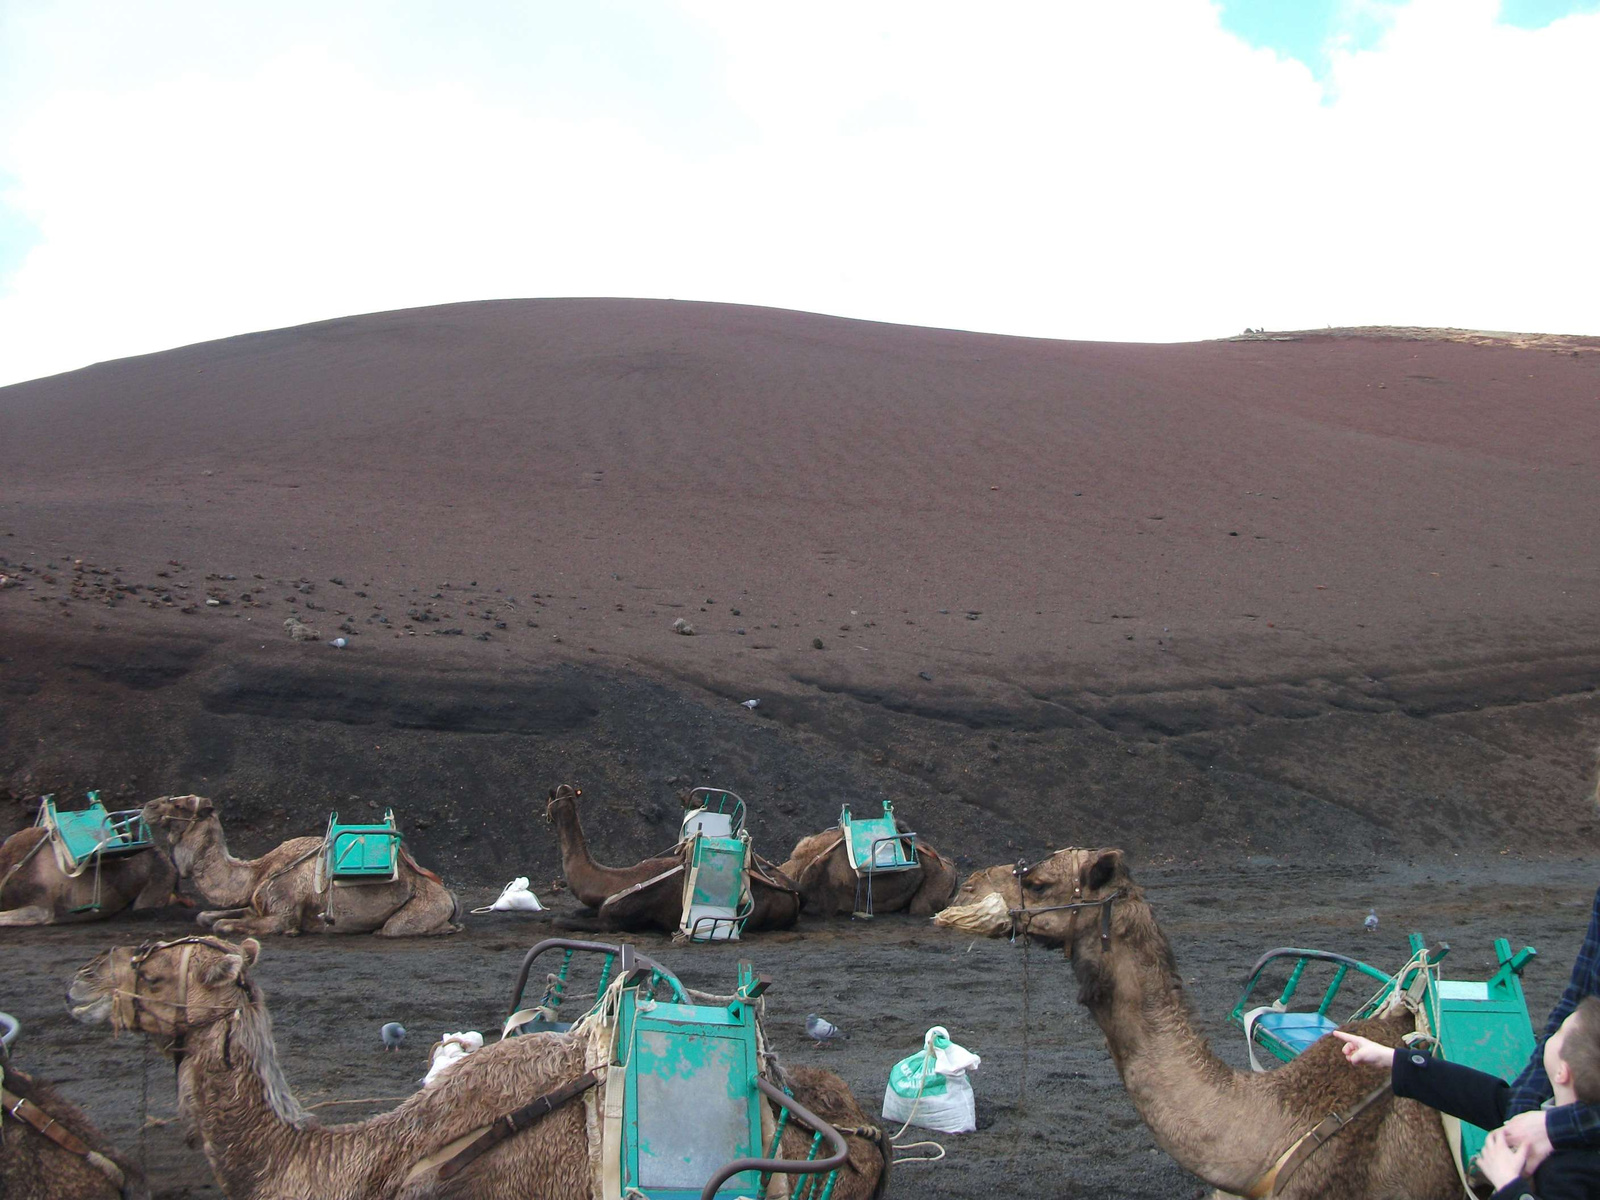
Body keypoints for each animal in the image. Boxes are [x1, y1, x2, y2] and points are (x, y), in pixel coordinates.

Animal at [142, 800, 464, 940]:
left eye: (181, 805)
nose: (148, 806)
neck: (258, 872)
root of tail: (447, 893)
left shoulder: (283, 911)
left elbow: (223, 925)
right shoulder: (258, 906)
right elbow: (207, 916)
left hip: (421, 909)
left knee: (391, 929)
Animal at [544, 784, 806, 934]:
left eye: (550, 797)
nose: (560, 785)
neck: (614, 882)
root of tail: (792, 893)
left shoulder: (617, 921)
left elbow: (560, 921)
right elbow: (578, 912)